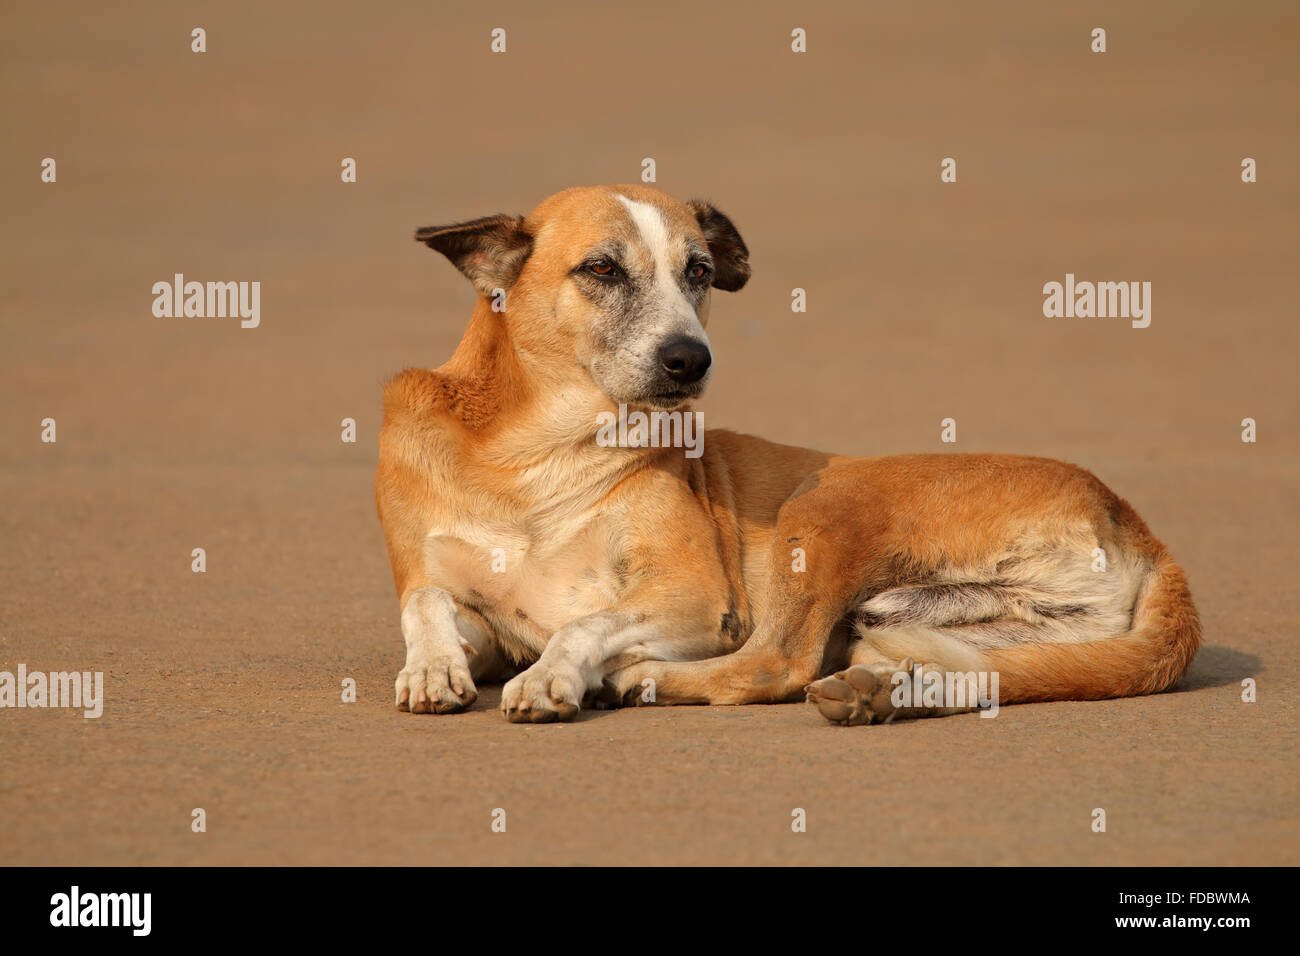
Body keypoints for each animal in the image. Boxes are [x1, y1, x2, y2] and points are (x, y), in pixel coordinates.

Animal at [374, 184, 1196, 723]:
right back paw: (885, 696)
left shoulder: (698, 598)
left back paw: (643, 679)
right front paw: (431, 666)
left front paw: (553, 681)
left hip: (823, 503)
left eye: (699, 272)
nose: (690, 360)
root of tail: (1136, 524)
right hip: (936, 632)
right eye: (601, 269)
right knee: (967, 674)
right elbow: (426, 602)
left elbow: (583, 626)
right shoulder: (474, 609)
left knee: (775, 664)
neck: (531, 459)